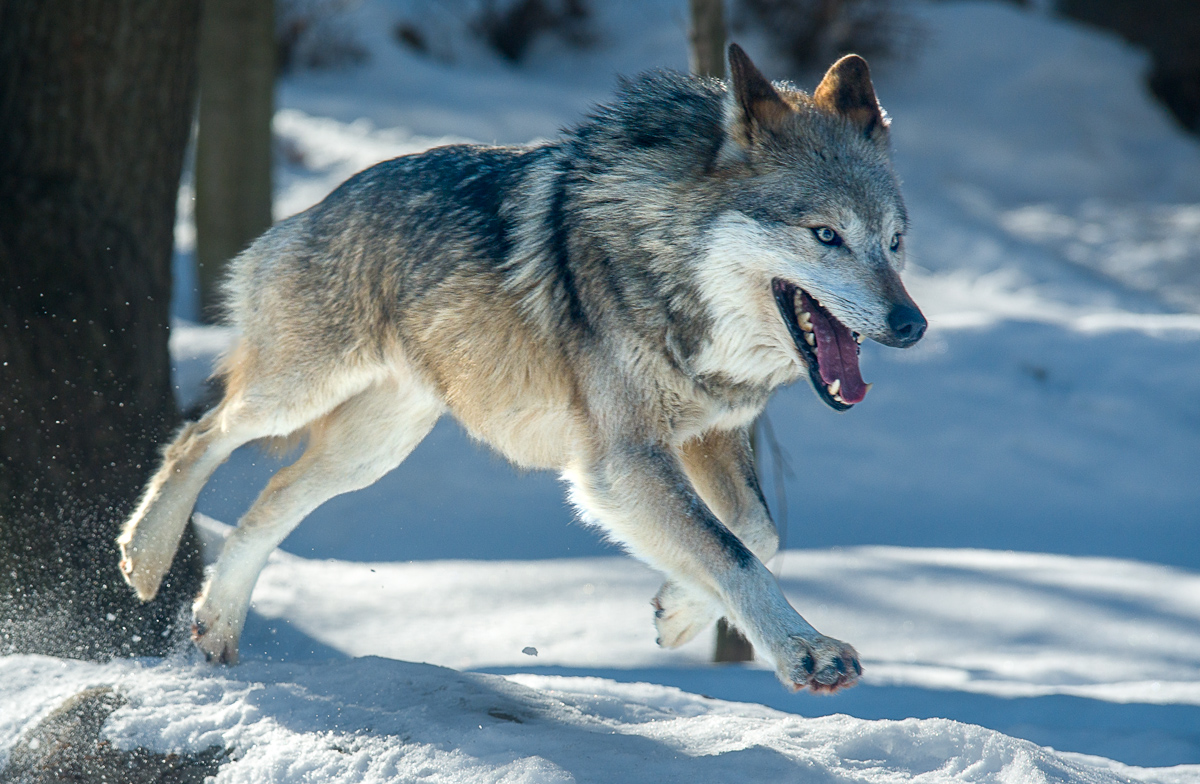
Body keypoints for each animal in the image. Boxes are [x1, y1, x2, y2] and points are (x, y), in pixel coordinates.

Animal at [118, 44, 925, 692]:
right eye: (825, 235)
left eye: (893, 242)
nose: (912, 325)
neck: (661, 255)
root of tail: (310, 208)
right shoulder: (623, 460)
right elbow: (731, 550)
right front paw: (805, 651)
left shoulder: (708, 433)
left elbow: (756, 534)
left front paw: (676, 614)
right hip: (299, 393)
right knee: (197, 435)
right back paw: (145, 557)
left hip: (372, 449)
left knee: (271, 498)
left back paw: (216, 626)